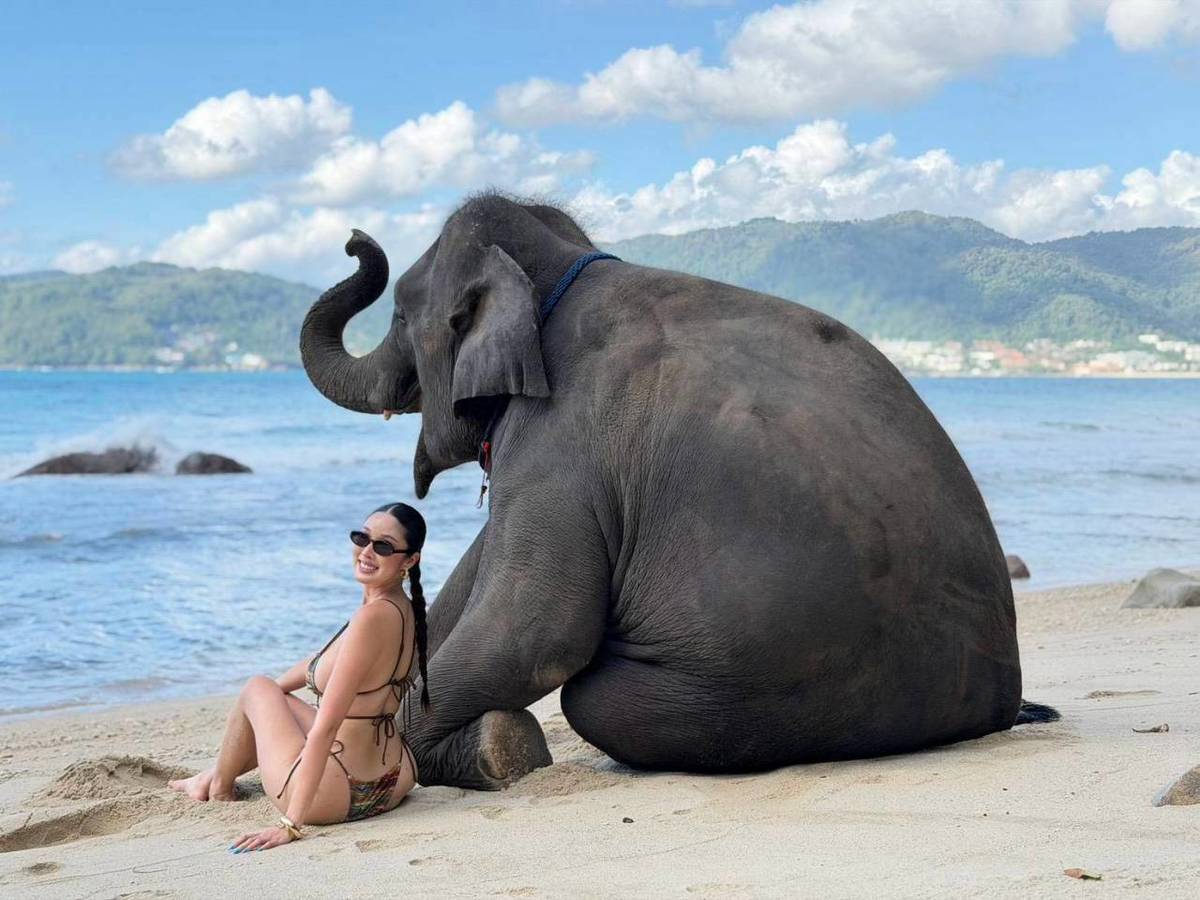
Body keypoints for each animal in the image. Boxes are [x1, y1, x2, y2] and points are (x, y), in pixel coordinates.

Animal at [300, 192, 1053, 790]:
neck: (562, 268)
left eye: (400, 314)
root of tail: (1001, 696)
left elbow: (535, 630)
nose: (356, 240)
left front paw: (493, 751)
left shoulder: (561, 439)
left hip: (750, 694)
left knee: (593, 698)